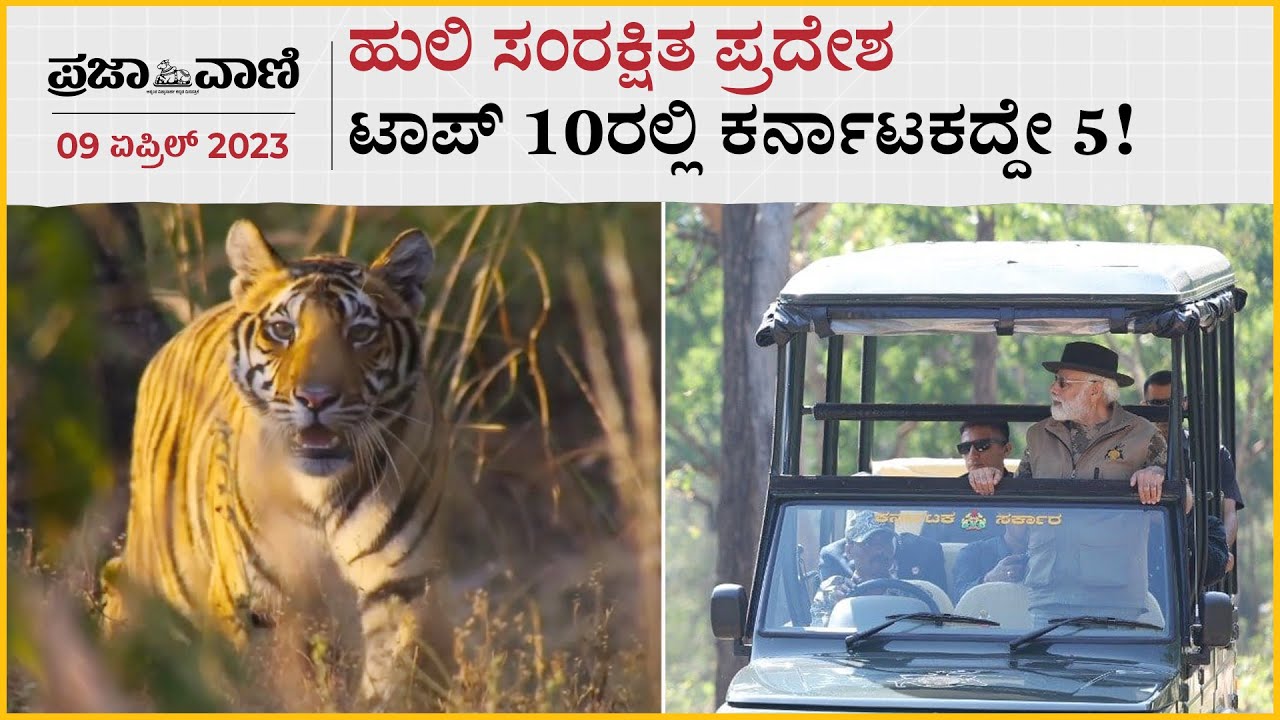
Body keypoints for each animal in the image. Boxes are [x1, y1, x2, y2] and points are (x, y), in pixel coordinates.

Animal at [101, 218, 452, 704]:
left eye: (360, 333)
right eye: (284, 330)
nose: (316, 398)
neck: (321, 493)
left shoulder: (402, 589)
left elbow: (398, 685)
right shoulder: (255, 604)